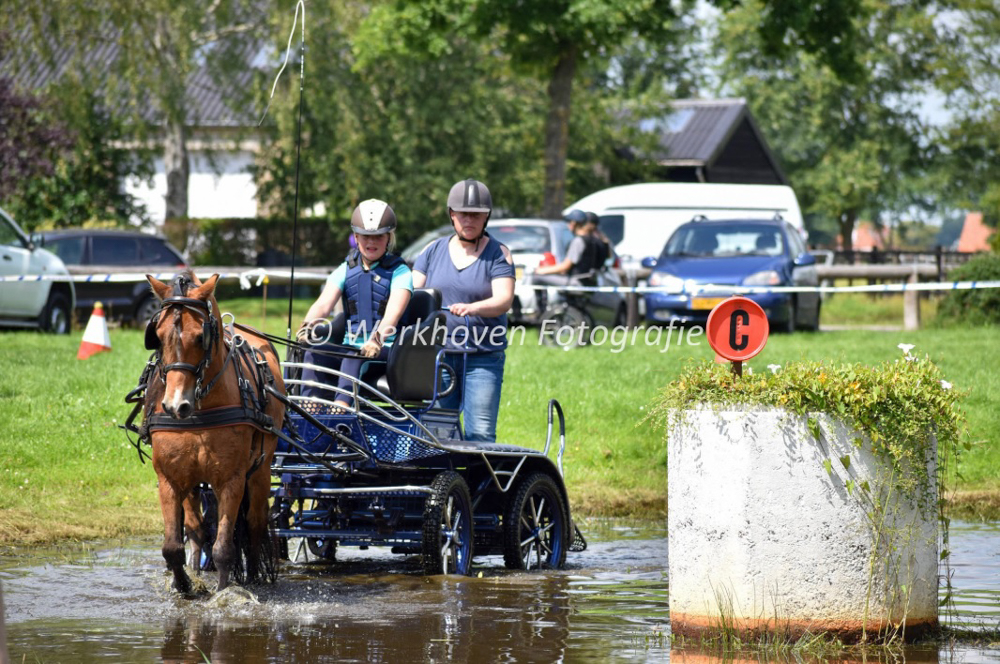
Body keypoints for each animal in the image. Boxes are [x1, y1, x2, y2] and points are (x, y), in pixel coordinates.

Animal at [141, 272, 284, 592]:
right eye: (158, 335)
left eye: (200, 337)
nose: (175, 405)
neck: (199, 411)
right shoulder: (169, 479)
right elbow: (173, 547)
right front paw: (185, 587)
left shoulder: (231, 479)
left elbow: (224, 549)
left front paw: (225, 592)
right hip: (194, 483)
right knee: (196, 529)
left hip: (260, 470)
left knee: (254, 525)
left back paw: (253, 576)